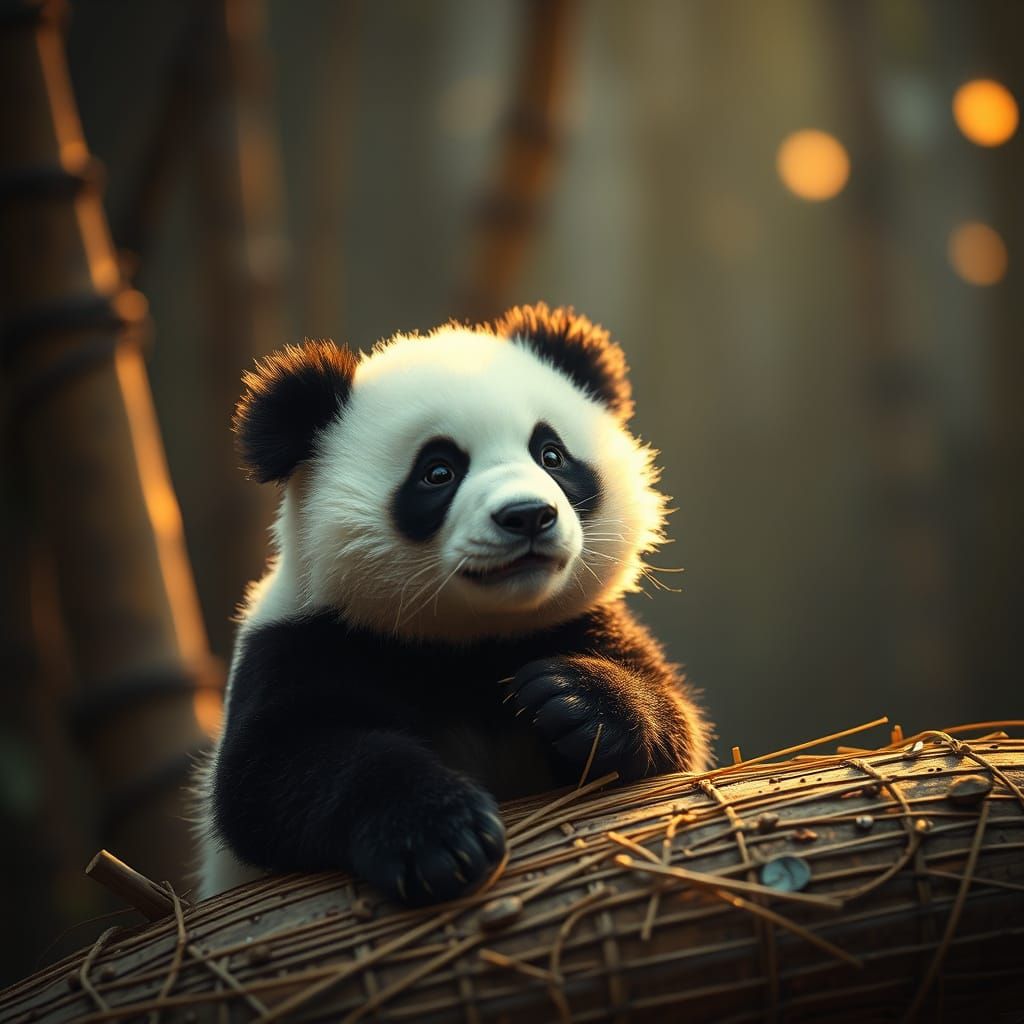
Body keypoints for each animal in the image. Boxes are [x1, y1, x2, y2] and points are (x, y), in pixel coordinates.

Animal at [197, 303, 711, 905]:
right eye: (438, 471)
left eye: (551, 454)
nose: (527, 515)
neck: (470, 638)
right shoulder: (308, 639)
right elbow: (269, 774)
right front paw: (439, 834)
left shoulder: (580, 621)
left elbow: (676, 731)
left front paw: (573, 700)